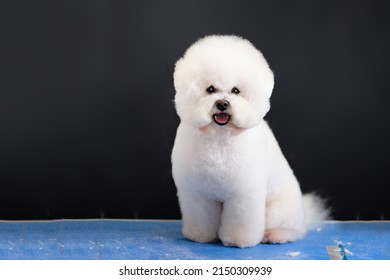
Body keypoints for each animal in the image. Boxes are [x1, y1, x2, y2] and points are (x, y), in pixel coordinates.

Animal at [172, 34, 328, 247]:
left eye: (236, 91)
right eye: (210, 89)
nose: (222, 104)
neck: (219, 138)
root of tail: (303, 216)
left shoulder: (243, 194)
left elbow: (241, 221)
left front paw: (237, 240)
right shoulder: (198, 193)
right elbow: (201, 216)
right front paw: (199, 235)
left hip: (278, 211)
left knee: (291, 230)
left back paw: (274, 235)